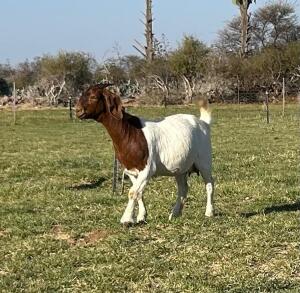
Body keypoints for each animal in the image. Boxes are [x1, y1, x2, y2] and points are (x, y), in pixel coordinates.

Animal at [76, 83, 214, 225]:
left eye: (93, 97)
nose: (78, 111)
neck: (129, 132)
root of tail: (203, 122)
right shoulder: (130, 170)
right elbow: (139, 193)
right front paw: (141, 216)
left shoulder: (147, 168)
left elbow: (133, 192)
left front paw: (126, 219)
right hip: (180, 167)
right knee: (183, 188)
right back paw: (175, 214)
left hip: (204, 160)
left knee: (209, 184)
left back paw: (209, 212)